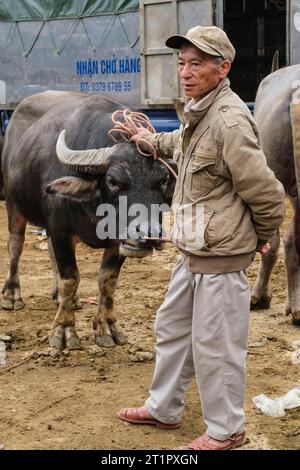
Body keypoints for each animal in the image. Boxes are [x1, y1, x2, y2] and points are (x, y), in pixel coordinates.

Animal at [1, 92, 175, 348]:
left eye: (163, 180)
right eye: (113, 181)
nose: (148, 235)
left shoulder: (116, 241)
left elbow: (108, 281)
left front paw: (107, 327)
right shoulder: (60, 230)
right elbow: (70, 278)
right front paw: (64, 330)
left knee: (49, 251)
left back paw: (62, 298)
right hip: (14, 203)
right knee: (15, 245)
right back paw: (12, 294)